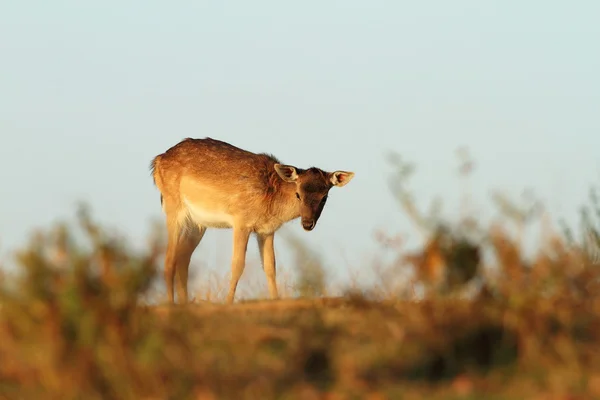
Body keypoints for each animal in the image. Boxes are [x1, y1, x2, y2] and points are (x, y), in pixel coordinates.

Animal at [151, 138, 356, 304]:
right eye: (298, 194)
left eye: (324, 197)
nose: (307, 223)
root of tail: (157, 161)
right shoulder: (241, 222)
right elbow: (237, 264)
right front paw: (228, 302)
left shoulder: (267, 230)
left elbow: (270, 266)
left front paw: (275, 299)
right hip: (173, 207)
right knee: (169, 259)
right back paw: (171, 304)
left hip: (197, 224)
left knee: (183, 258)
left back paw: (185, 303)